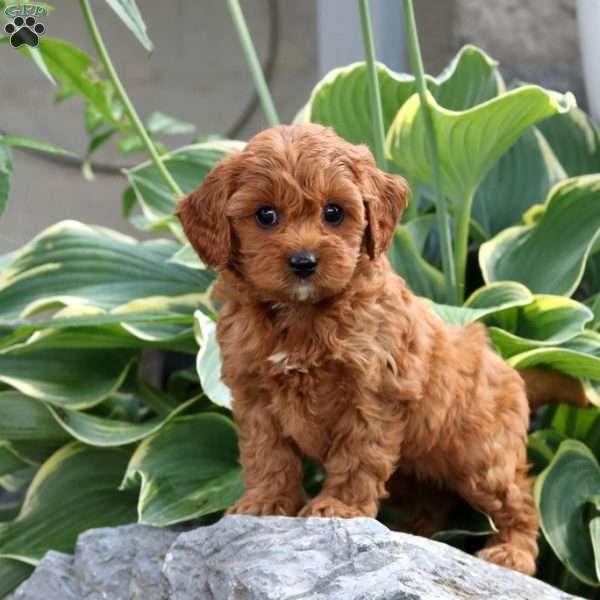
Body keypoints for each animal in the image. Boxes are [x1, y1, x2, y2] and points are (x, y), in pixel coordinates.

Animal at [177, 123, 584, 576]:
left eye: (334, 212)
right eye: (266, 215)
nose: (304, 262)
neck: (302, 315)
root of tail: (511, 370)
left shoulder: (372, 395)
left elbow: (357, 456)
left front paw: (337, 507)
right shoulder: (255, 397)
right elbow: (268, 456)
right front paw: (265, 503)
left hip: (481, 459)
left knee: (519, 500)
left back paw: (511, 552)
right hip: (416, 471)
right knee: (434, 502)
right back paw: (415, 532)